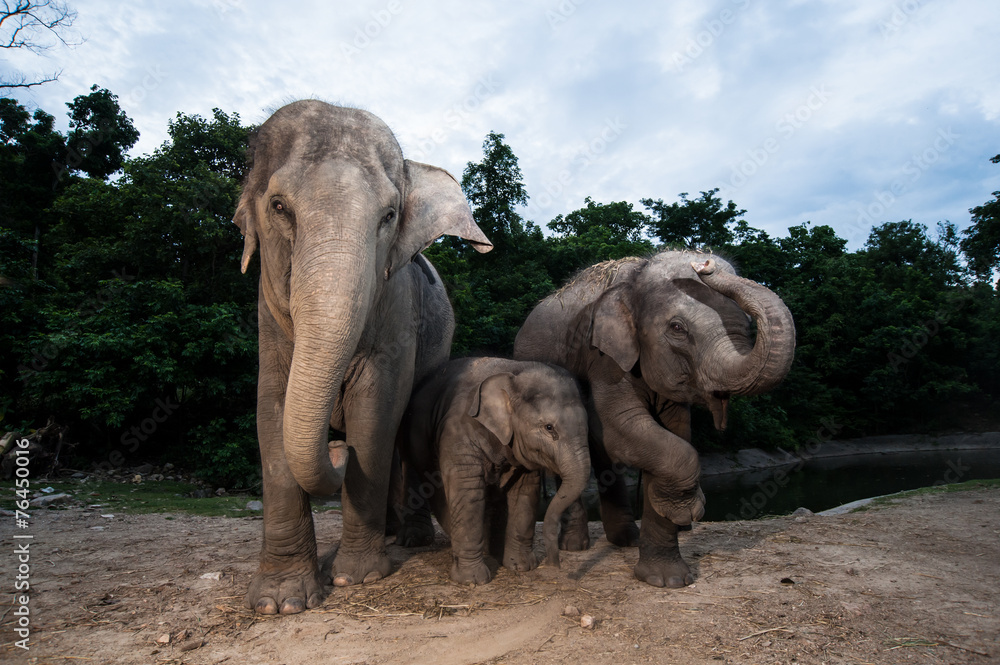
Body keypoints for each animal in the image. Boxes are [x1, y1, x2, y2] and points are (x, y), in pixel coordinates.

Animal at [233, 100, 492, 614]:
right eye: (278, 207)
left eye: (389, 215)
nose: (337, 448)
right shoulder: (267, 317)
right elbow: (271, 409)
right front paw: (279, 603)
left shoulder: (397, 306)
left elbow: (376, 410)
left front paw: (357, 577)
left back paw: (407, 540)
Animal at [395, 357, 591, 585]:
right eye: (549, 428)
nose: (555, 565)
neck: (514, 371)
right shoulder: (459, 434)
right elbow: (468, 493)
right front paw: (473, 580)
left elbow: (524, 493)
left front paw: (522, 566)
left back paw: (493, 548)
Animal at [513, 250, 795, 588]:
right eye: (677, 328)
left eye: (748, 323)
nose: (704, 262)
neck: (637, 275)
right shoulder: (603, 358)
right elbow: (619, 429)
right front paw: (687, 511)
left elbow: (675, 434)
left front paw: (667, 579)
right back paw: (576, 545)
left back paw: (626, 540)